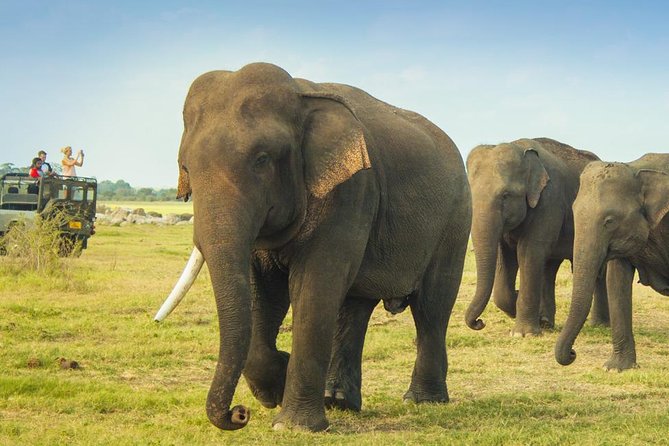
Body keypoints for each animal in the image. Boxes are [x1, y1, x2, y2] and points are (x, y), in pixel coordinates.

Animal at [154, 62, 472, 432]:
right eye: (186, 167)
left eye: (262, 159)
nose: (239, 412)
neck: (300, 97)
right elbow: (263, 291)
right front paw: (275, 385)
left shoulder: (351, 190)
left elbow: (313, 286)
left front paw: (292, 425)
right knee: (354, 305)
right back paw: (339, 402)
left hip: (456, 220)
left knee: (432, 306)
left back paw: (422, 400)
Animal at [465, 138, 610, 336]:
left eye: (506, 195)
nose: (479, 322)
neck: (520, 148)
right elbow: (505, 257)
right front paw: (526, 311)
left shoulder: (549, 201)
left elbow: (529, 253)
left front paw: (523, 333)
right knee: (549, 267)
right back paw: (547, 322)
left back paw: (599, 325)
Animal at [556, 153, 669, 371]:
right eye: (574, 212)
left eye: (609, 221)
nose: (573, 353)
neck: (637, 170)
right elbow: (616, 281)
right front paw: (615, 368)